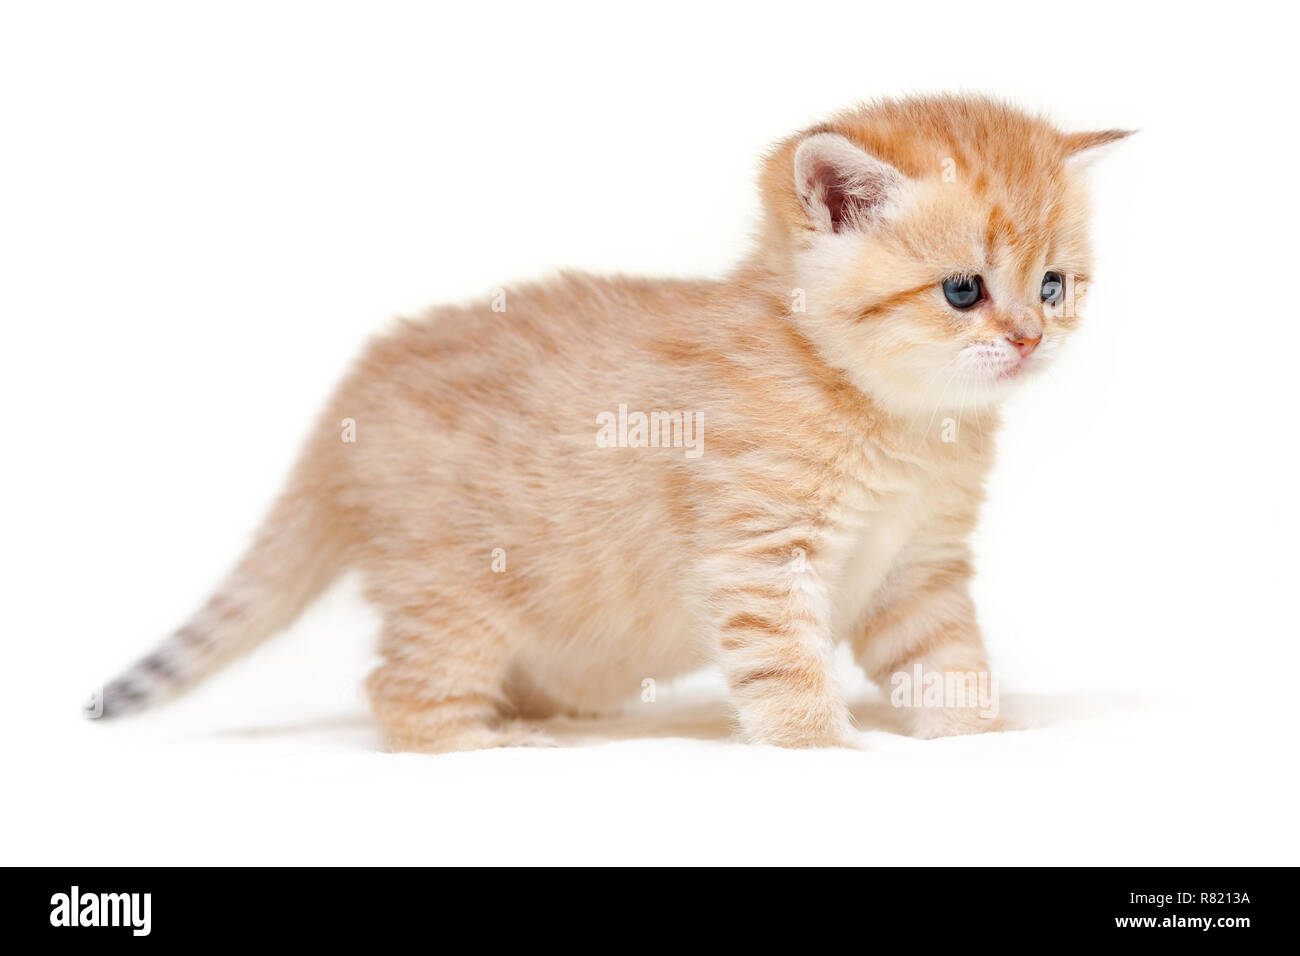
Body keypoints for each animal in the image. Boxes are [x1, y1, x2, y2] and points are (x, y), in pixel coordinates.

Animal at [89, 98, 1128, 754]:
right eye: (963, 291)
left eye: (1053, 286)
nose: (1029, 338)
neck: (902, 421)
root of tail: (355, 392)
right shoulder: (757, 557)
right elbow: (787, 667)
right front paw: (823, 749)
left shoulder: (919, 569)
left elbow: (947, 660)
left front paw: (979, 737)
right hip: (452, 596)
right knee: (398, 695)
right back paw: (494, 744)